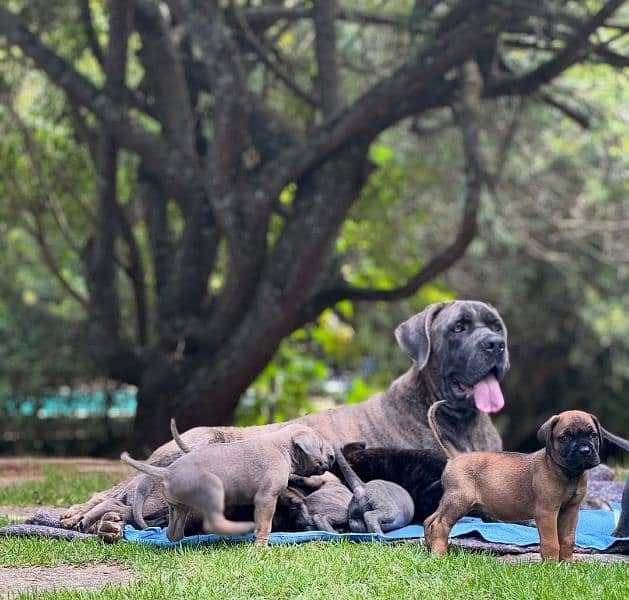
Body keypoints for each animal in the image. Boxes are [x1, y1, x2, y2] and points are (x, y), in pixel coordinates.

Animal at [119, 422, 334, 544]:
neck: (283, 447)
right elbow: (265, 524)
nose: (332, 457)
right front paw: (261, 545)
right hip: (212, 490)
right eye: (320, 446)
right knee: (213, 522)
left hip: (179, 508)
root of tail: (168, 471)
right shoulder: (266, 498)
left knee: (173, 533)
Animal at [424, 410, 600, 560]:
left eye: (593, 435)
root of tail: (456, 456)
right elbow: (551, 542)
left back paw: (429, 548)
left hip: (450, 502)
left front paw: (567, 562)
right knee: (440, 525)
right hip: (459, 501)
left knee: (429, 520)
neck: (568, 474)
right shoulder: (547, 512)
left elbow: (567, 539)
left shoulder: (571, 511)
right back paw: (439, 555)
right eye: (565, 437)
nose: (585, 450)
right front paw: (551, 565)